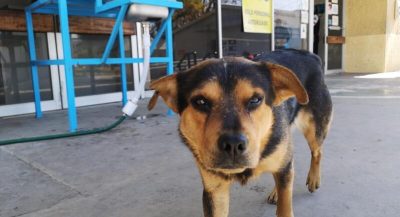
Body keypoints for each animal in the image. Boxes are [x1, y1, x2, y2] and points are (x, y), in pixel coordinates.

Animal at [148, 49, 332, 217]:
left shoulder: (283, 162)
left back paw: (313, 179)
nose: (233, 144)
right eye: (200, 101)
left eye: (255, 100)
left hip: (314, 128)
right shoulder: (215, 190)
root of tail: (310, 55)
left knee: (316, 153)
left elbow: (285, 206)